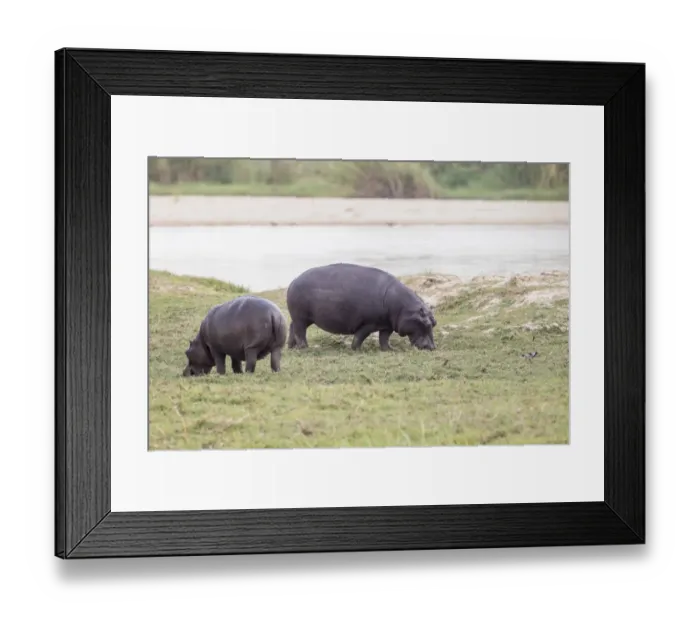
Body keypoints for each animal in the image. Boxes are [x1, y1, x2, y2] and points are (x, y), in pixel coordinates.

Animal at [286, 263, 437, 352]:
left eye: (434, 322)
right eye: (426, 323)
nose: (432, 347)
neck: (404, 308)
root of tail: (293, 281)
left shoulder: (386, 325)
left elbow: (384, 339)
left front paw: (390, 349)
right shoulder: (368, 324)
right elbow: (359, 337)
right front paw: (357, 350)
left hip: (302, 318)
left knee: (292, 327)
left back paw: (292, 347)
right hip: (301, 317)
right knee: (300, 332)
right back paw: (305, 348)